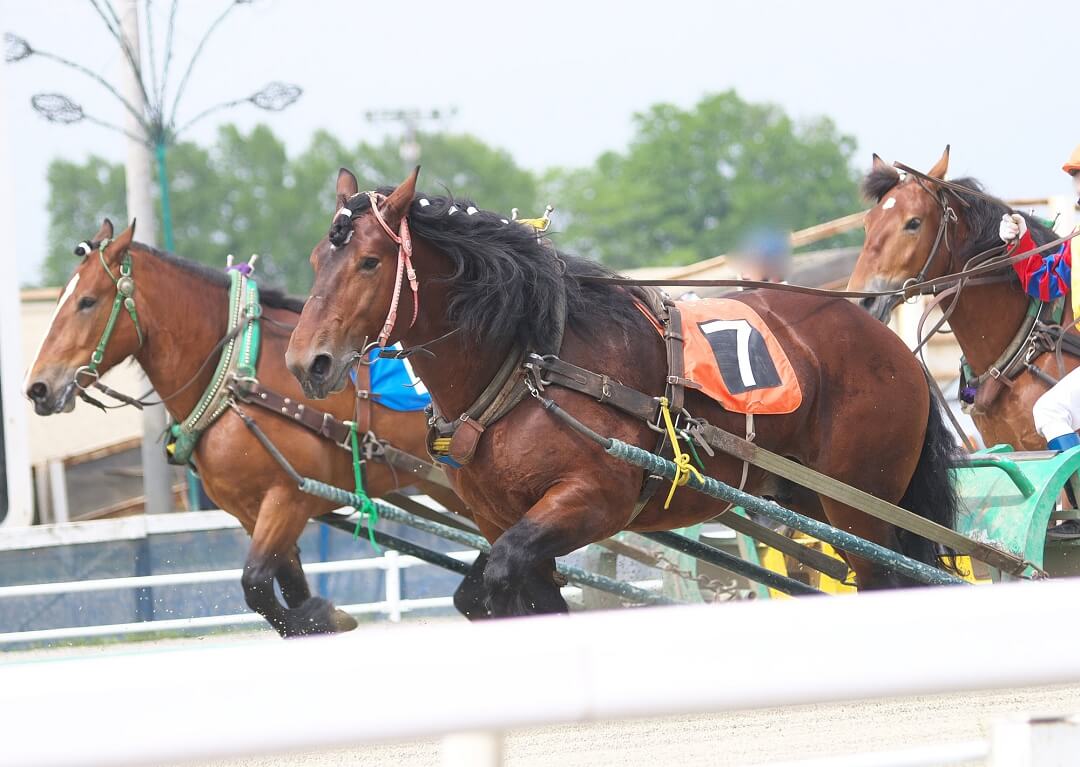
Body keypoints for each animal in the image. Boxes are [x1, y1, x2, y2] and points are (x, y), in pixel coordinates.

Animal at [24, 219, 468, 639]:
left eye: (87, 301)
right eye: (62, 299)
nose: (38, 387)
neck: (240, 375)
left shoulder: (288, 498)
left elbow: (255, 583)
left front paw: (322, 616)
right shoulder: (249, 513)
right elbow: (284, 590)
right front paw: (316, 618)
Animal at [282, 168, 959, 617]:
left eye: (370, 262)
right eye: (317, 259)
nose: (307, 361)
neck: (530, 364)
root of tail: (887, 340)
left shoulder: (591, 501)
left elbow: (495, 581)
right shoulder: (505, 522)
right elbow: (499, 594)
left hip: (863, 506)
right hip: (812, 499)